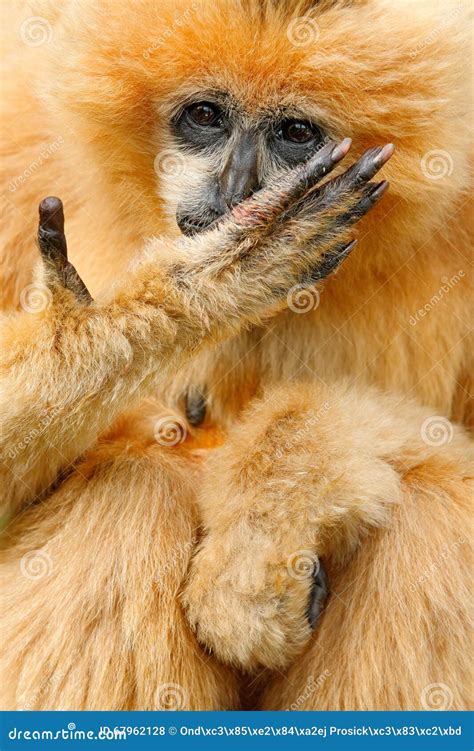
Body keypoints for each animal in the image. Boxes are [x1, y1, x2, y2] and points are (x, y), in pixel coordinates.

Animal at [1, 0, 472, 712]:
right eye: (205, 116)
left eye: (296, 131)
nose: (238, 187)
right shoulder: (19, 132)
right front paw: (218, 277)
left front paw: (253, 562)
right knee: (138, 480)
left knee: (432, 511)